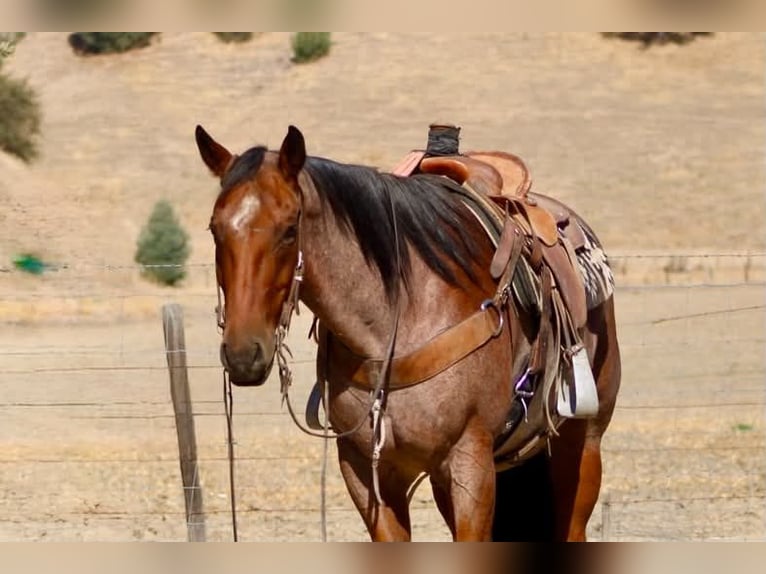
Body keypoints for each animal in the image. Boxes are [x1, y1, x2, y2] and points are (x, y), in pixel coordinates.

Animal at [194, 124, 621, 541]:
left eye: (288, 229)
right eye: (215, 229)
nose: (243, 354)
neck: (396, 325)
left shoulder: (471, 463)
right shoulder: (367, 471)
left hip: (581, 445)